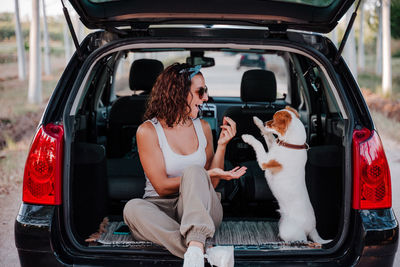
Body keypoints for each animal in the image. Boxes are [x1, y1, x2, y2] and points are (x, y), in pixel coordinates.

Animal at [242, 106, 330, 245]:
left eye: (273, 121)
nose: (265, 122)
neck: (292, 145)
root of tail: (312, 229)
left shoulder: (265, 161)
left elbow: (259, 144)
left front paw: (247, 137)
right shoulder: (273, 145)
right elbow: (268, 135)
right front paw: (258, 121)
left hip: (290, 231)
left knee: (303, 240)